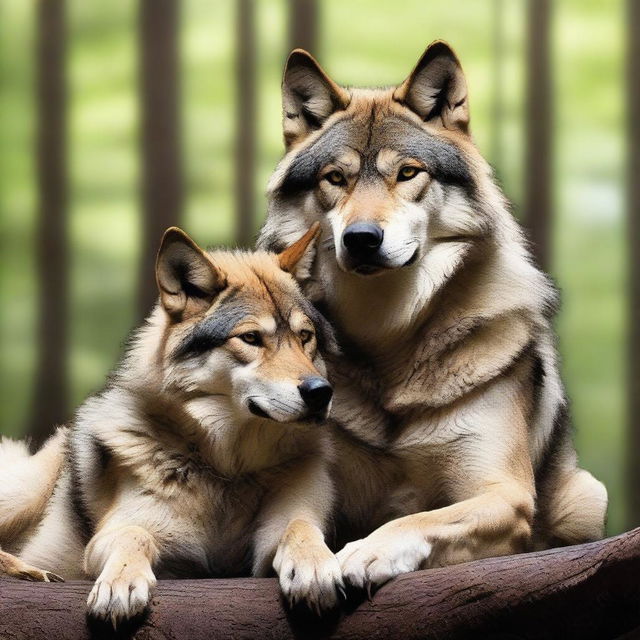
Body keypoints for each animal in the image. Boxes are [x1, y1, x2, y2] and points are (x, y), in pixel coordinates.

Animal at [0, 224, 344, 620]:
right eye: (251, 338)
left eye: (305, 337)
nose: (320, 392)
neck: (226, 471)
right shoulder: (112, 535)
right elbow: (135, 536)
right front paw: (119, 585)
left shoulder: (276, 536)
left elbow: (300, 528)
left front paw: (316, 568)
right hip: (23, 491)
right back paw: (30, 571)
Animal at [258, 40, 608, 592]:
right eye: (335, 178)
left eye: (407, 173)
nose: (361, 238)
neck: (388, 332)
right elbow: (296, 520)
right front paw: (310, 563)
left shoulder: (503, 494)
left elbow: (416, 519)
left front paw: (365, 552)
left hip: (587, 498)